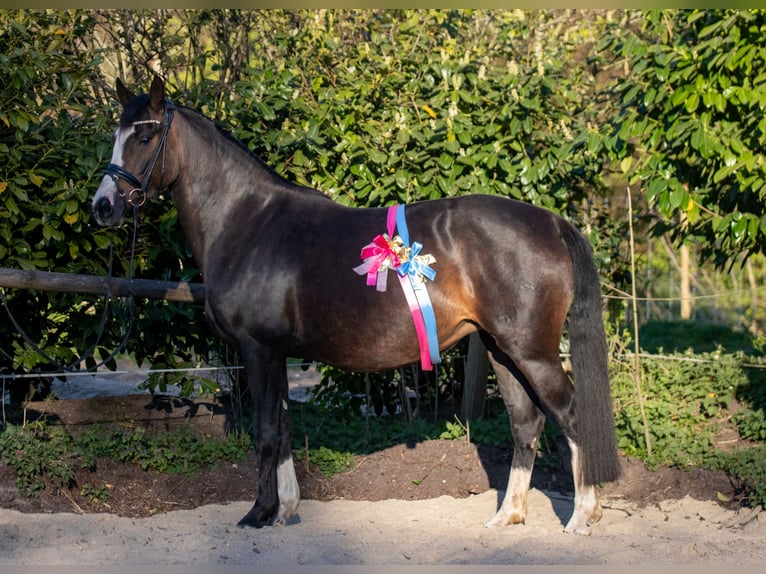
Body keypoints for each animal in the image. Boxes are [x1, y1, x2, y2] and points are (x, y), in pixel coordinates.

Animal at [93, 75, 620, 536]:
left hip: (532, 352)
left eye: (144, 136)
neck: (247, 221)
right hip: (500, 348)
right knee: (526, 422)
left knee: (572, 415)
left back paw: (582, 516)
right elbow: (284, 428)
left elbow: (266, 432)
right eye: (116, 134)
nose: (103, 206)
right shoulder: (276, 353)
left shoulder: (258, 348)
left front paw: (258, 513)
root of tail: (551, 221)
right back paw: (508, 516)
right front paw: (286, 510)